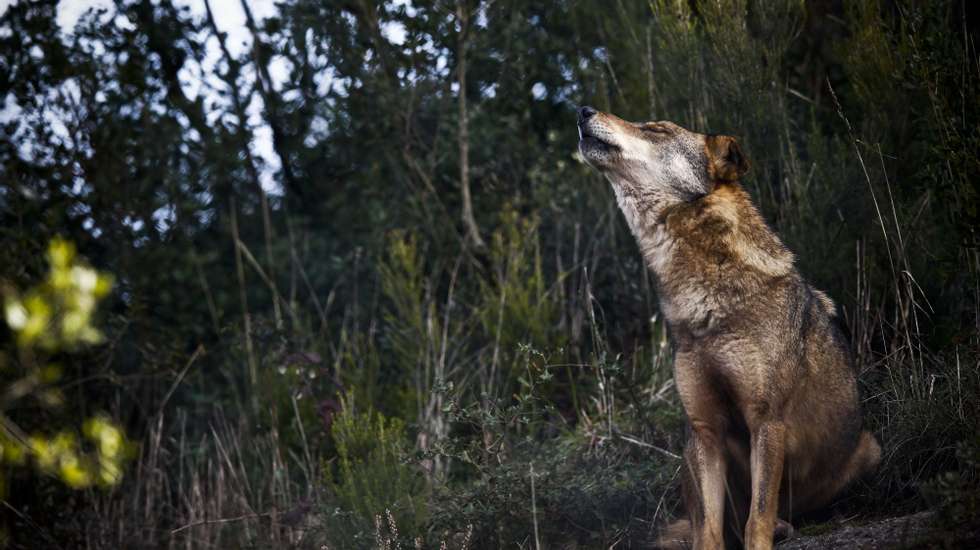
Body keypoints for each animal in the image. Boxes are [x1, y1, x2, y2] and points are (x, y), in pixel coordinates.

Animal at [576, 108, 880, 550]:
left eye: (656, 129)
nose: (583, 111)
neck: (703, 304)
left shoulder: (765, 420)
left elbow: (757, 518)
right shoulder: (706, 431)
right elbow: (710, 528)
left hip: (869, 450)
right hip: (689, 450)